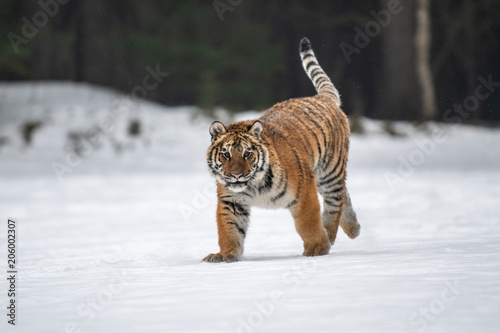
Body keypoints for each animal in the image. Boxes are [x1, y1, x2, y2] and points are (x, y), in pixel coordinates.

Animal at [203, 37, 360, 262]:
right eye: (226, 154)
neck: (253, 185)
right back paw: (353, 228)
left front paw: (317, 249)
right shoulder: (231, 201)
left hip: (329, 172)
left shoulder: (304, 189)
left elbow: (307, 223)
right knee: (343, 194)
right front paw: (225, 255)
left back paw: (329, 236)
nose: (236, 175)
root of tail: (320, 98)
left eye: (247, 154)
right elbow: (229, 229)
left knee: (334, 203)